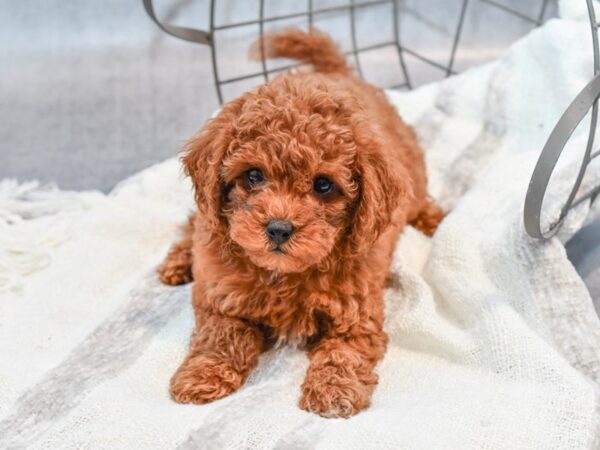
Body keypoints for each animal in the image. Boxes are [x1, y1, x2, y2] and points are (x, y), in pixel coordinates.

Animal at [159, 28, 446, 416]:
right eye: (253, 175)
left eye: (323, 185)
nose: (279, 228)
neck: (284, 275)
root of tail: (336, 71)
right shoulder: (220, 296)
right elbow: (220, 334)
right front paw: (201, 375)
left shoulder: (357, 314)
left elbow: (344, 351)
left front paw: (333, 392)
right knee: (194, 220)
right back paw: (177, 263)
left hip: (412, 173)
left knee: (419, 198)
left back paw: (435, 219)